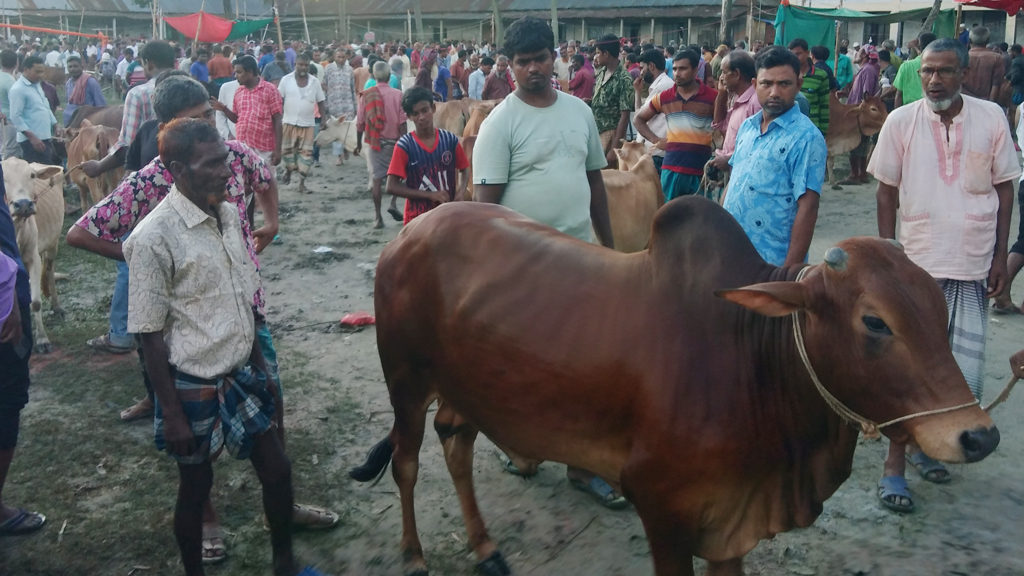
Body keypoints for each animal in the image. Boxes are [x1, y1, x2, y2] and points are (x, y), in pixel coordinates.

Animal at [3, 158, 65, 352]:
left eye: (31, 175)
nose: (23, 204)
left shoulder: (33, 258)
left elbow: (35, 302)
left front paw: (42, 339)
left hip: (53, 242)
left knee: (50, 269)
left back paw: (57, 306)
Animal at [354, 195, 999, 573]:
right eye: (875, 322)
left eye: (937, 305)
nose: (979, 437)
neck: (750, 356)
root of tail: (411, 231)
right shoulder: (662, 509)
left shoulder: (732, 524)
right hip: (405, 379)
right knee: (407, 461)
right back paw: (414, 555)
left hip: (463, 387)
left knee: (456, 444)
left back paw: (486, 547)